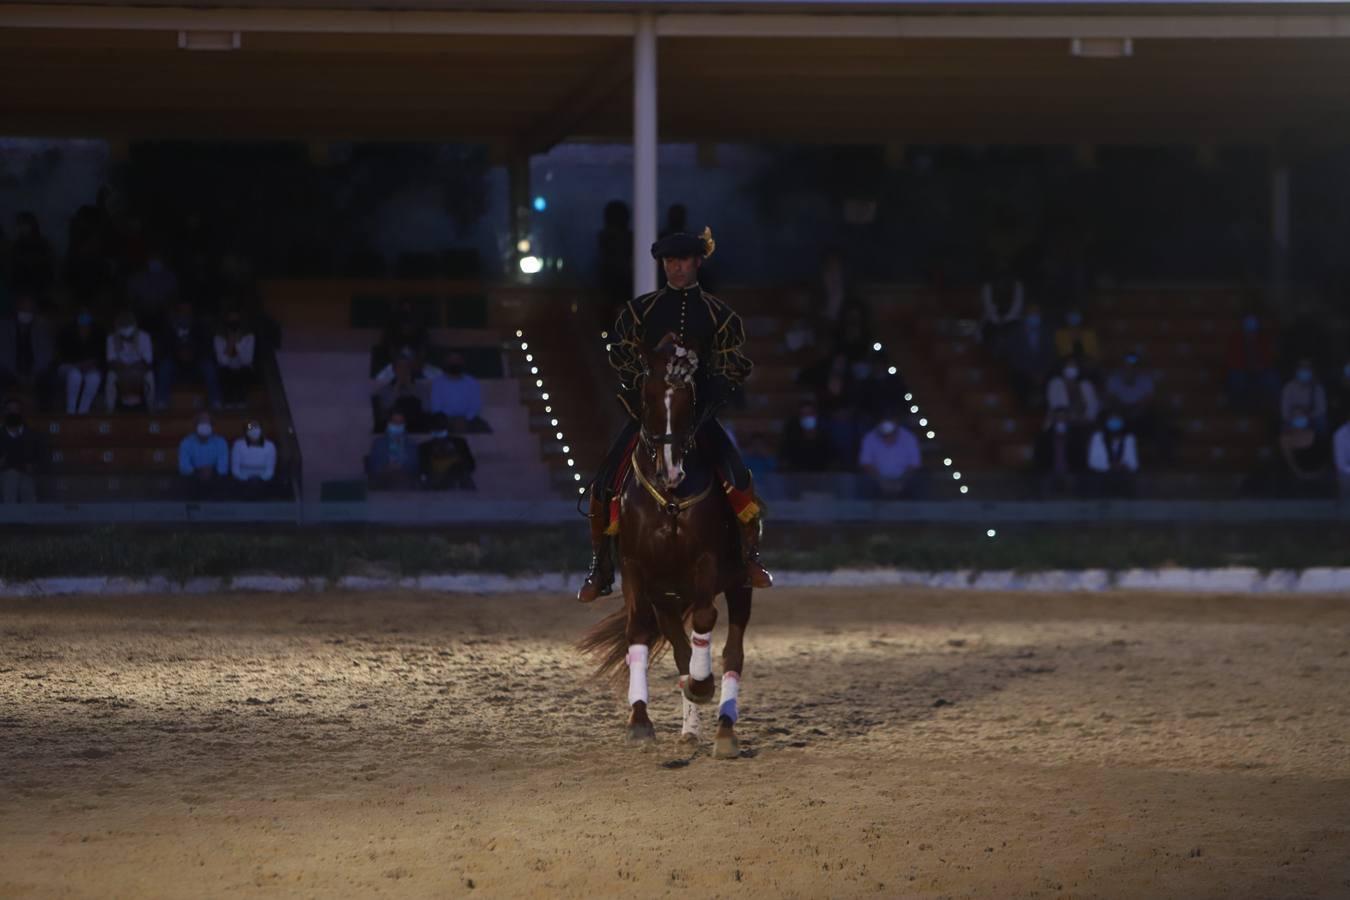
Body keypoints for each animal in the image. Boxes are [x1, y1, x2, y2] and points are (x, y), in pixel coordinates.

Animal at [577, 333, 756, 761]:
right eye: (649, 395)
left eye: (691, 399)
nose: (670, 471)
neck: (670, 499)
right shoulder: (637, 569)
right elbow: (639, 632)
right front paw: (640, 721)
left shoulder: (706, 562)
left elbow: (706, 620)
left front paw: (702, 686)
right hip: (668, 599)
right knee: (679, 652)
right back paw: (690, 730)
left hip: (739, 584)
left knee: (732, 653)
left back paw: (724, 728)